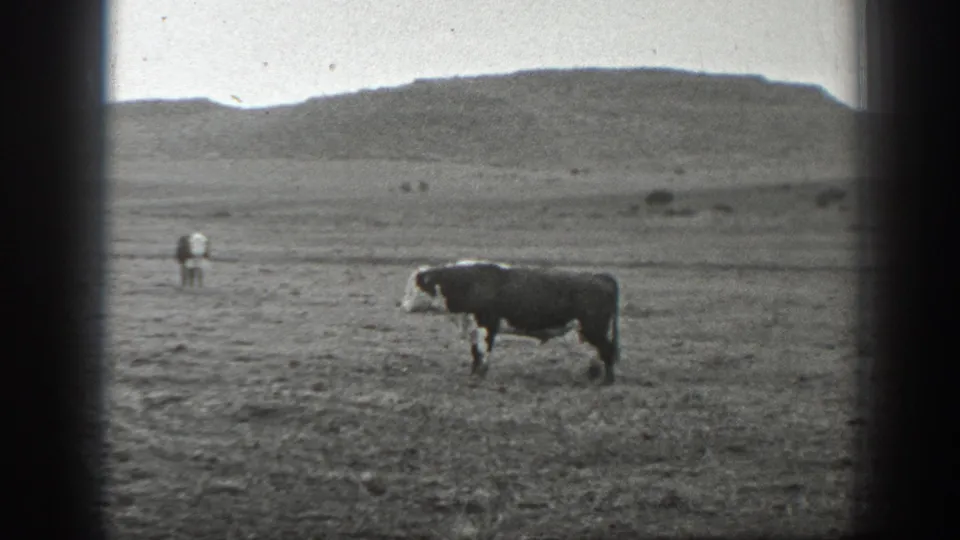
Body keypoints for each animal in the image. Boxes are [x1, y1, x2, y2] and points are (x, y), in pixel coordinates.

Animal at [399, 259, 622, 385]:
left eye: (413, 288)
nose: (402, 305)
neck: (469, 283)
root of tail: (600, 276)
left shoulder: (487, 325)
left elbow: (483, 351)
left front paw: (480, 375)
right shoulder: (473, 329)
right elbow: (475, 352)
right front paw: (473, 373)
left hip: (595, 329)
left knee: (607, 350)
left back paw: (607, 381)